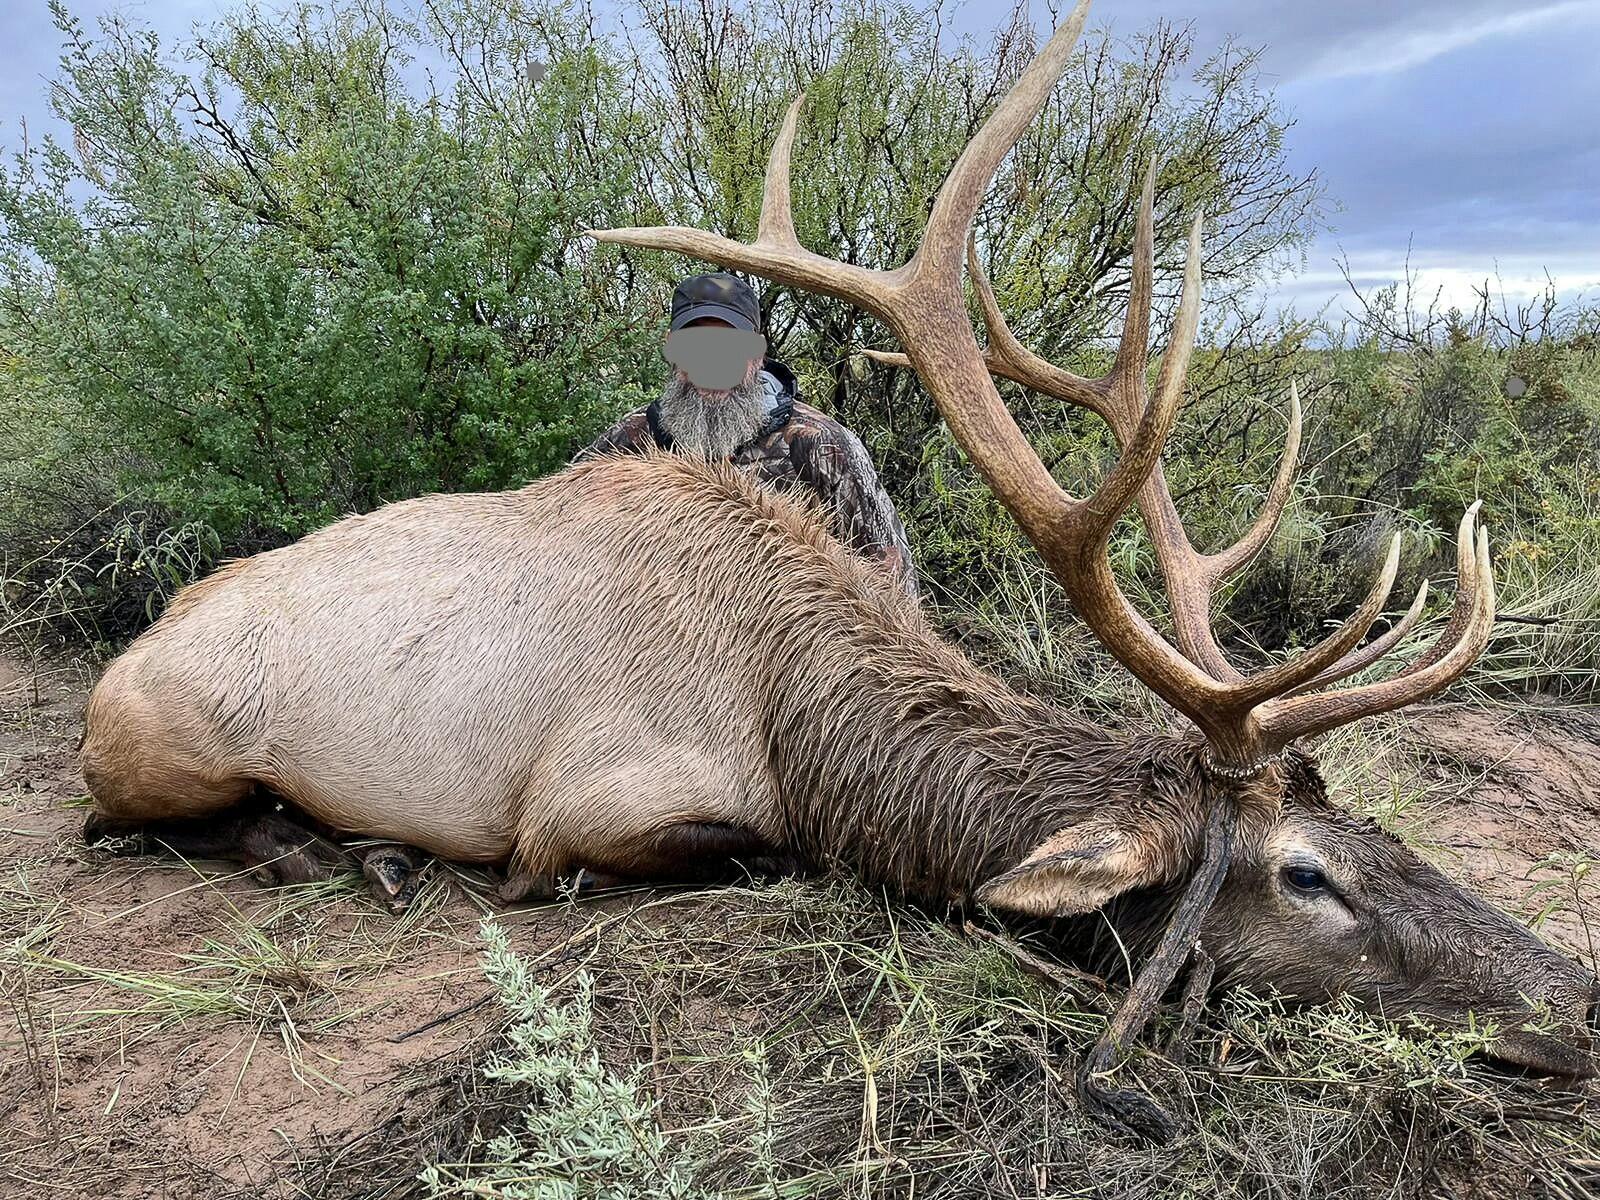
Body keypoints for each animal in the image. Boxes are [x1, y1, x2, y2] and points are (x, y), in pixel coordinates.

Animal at [84, 0, 1600, 1139]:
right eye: (1304, 878)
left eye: (1382, 835)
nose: (1578, 1000)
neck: (795, 717)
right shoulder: (587, 811)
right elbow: (741, 857)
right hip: (158, 748)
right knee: (133, 821)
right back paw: (346, 850)